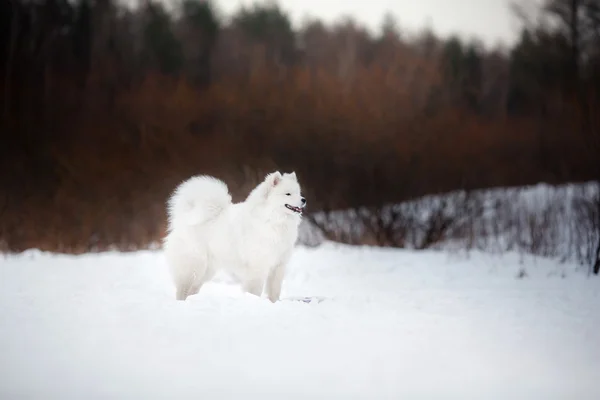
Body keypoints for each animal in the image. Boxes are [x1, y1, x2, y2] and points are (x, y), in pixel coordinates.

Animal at [163, 170, 308, 302]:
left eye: (298, 192)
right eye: (288, 194)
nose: (304, 199)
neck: (273, 220)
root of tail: (182, 218)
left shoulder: (278, 265)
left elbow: (275, 291)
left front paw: (274, 304)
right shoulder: (258, 266)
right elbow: (255, 290)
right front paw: (254, 301)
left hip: (206, 270)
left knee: (192, 289)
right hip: (193, 267)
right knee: (182, 289)